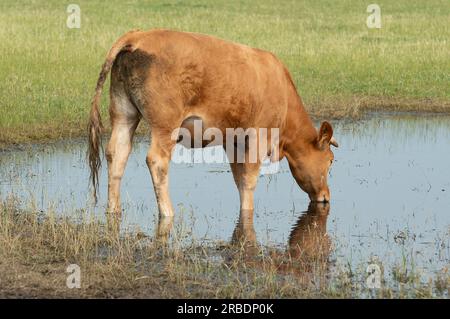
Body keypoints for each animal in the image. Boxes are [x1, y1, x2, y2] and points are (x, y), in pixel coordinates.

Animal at [88, 28, 338, 228]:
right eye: (330, 160)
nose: (326, 196)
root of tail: (138, 35)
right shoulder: (259, 137)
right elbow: (250, 179)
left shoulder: (235, 141)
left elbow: (239, 179)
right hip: (165, 125)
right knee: (157, 160)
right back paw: (167, 212)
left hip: (124, 113)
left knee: (117, 154)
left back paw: (113, 209)